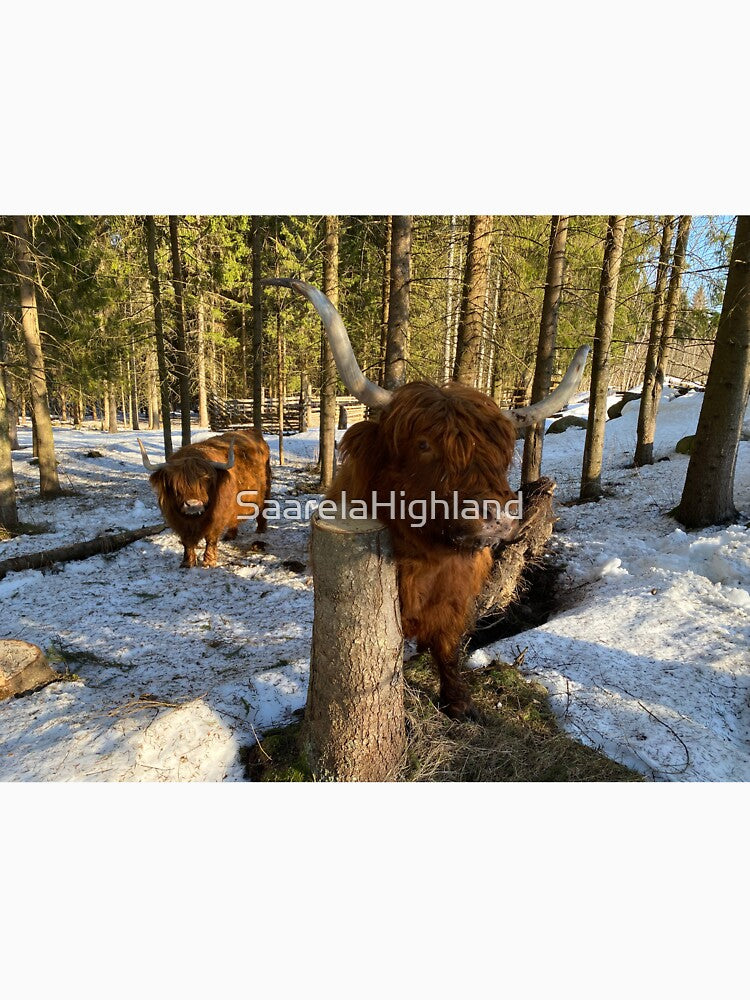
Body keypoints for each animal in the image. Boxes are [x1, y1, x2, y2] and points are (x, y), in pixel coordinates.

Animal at [138, 430, 271, 569]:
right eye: (176, 484)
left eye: (206, 481)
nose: (193, 504)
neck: (195, 520)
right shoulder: (178, 521)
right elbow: (186, 541)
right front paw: (188, 562)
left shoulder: (216, 517)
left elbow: (211, 538)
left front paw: (209, 561)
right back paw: (230, 535)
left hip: (265, 488)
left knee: (262, 508)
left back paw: (261, 529)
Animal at [264, 277, 588, 720]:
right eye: (423, 444)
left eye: (502, 451)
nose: (499, 516)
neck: (429, 557)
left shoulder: (455, 598)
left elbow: (448, 647)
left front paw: (459, 702)